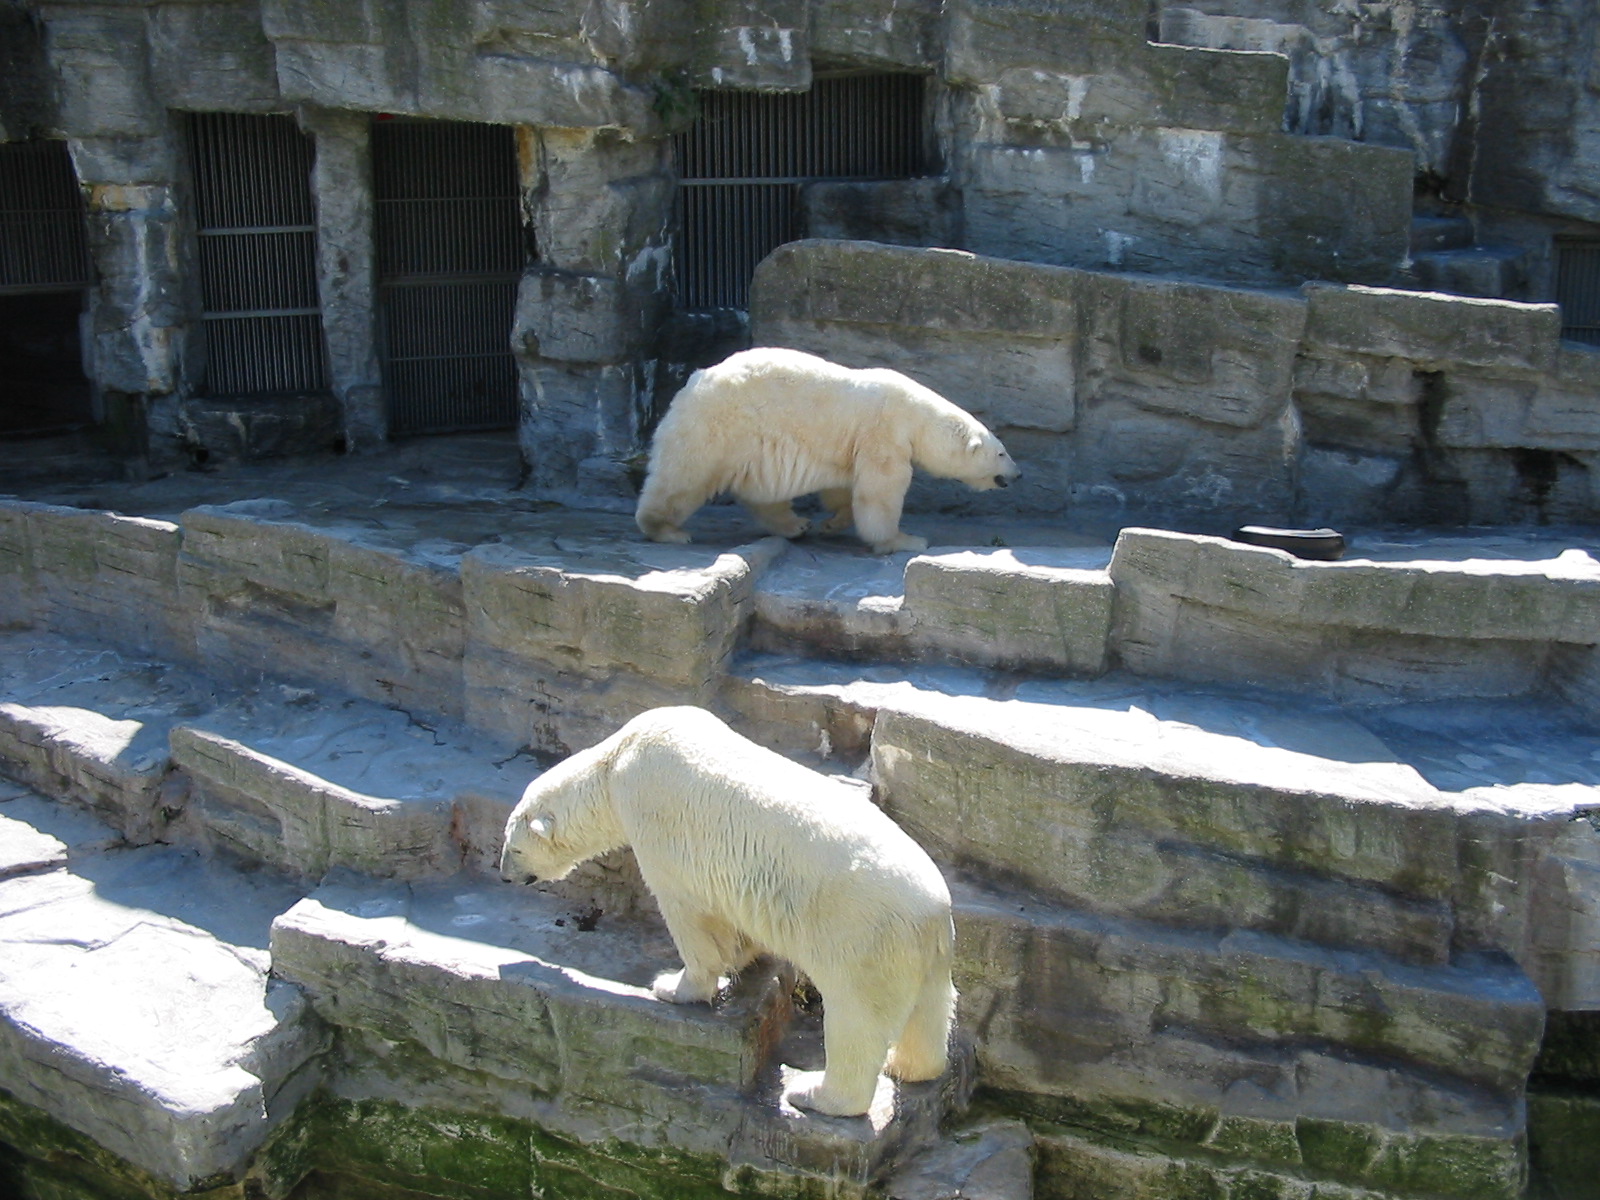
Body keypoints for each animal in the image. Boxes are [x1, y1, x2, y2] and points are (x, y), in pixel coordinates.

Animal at [499, 705, 957, 1118]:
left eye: (515, 848)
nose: (503, 875)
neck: (615, 763)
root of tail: (933, 914)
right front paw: (745, 955)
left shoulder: (654, 815)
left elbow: (688, 914)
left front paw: (674, 987)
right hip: (924, 954)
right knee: (932, 1011)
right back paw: (909, 1067)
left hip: (862, 936)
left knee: (856, 1018)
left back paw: (813, 1094)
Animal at [635, 347, 1019, 555]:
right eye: (1002, 453)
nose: (1017, 474)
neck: (916, 413)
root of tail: (694, 381)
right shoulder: (884, 433)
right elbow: (880, 491)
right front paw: (906, 540)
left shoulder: (850, 446)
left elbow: (843, 487)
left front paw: (832, 523)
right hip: (718, 426)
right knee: (683, 477)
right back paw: (667, 529)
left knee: (763, 494)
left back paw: (796, 525)